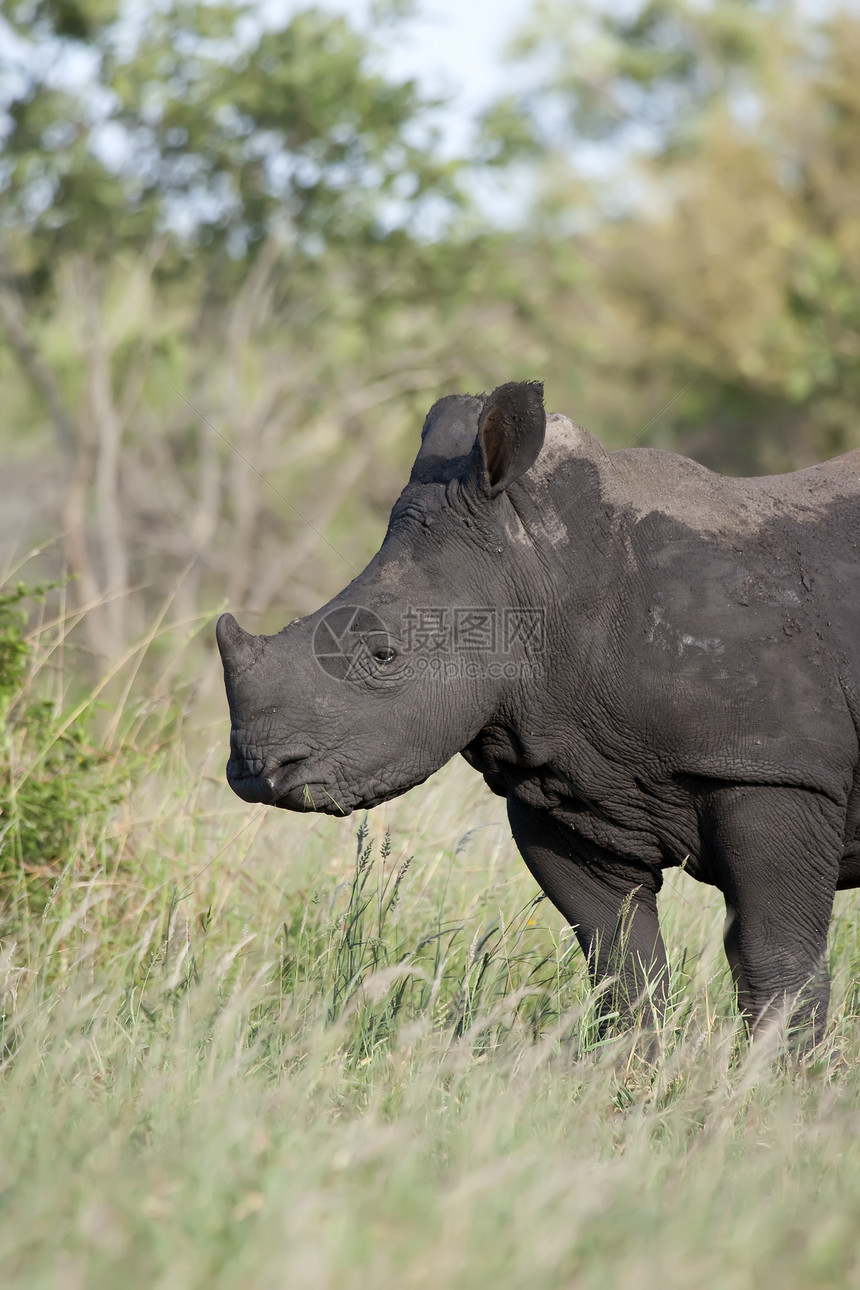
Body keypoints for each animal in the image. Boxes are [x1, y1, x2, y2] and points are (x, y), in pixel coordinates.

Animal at [216, 381, 860, 1047]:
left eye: (383, 654)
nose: (253, 771)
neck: (545, 572)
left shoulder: (776, 768)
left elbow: (775, 962)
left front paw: (781, 1071)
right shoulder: (573, 785)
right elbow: (618, 962)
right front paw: (632, 1070)